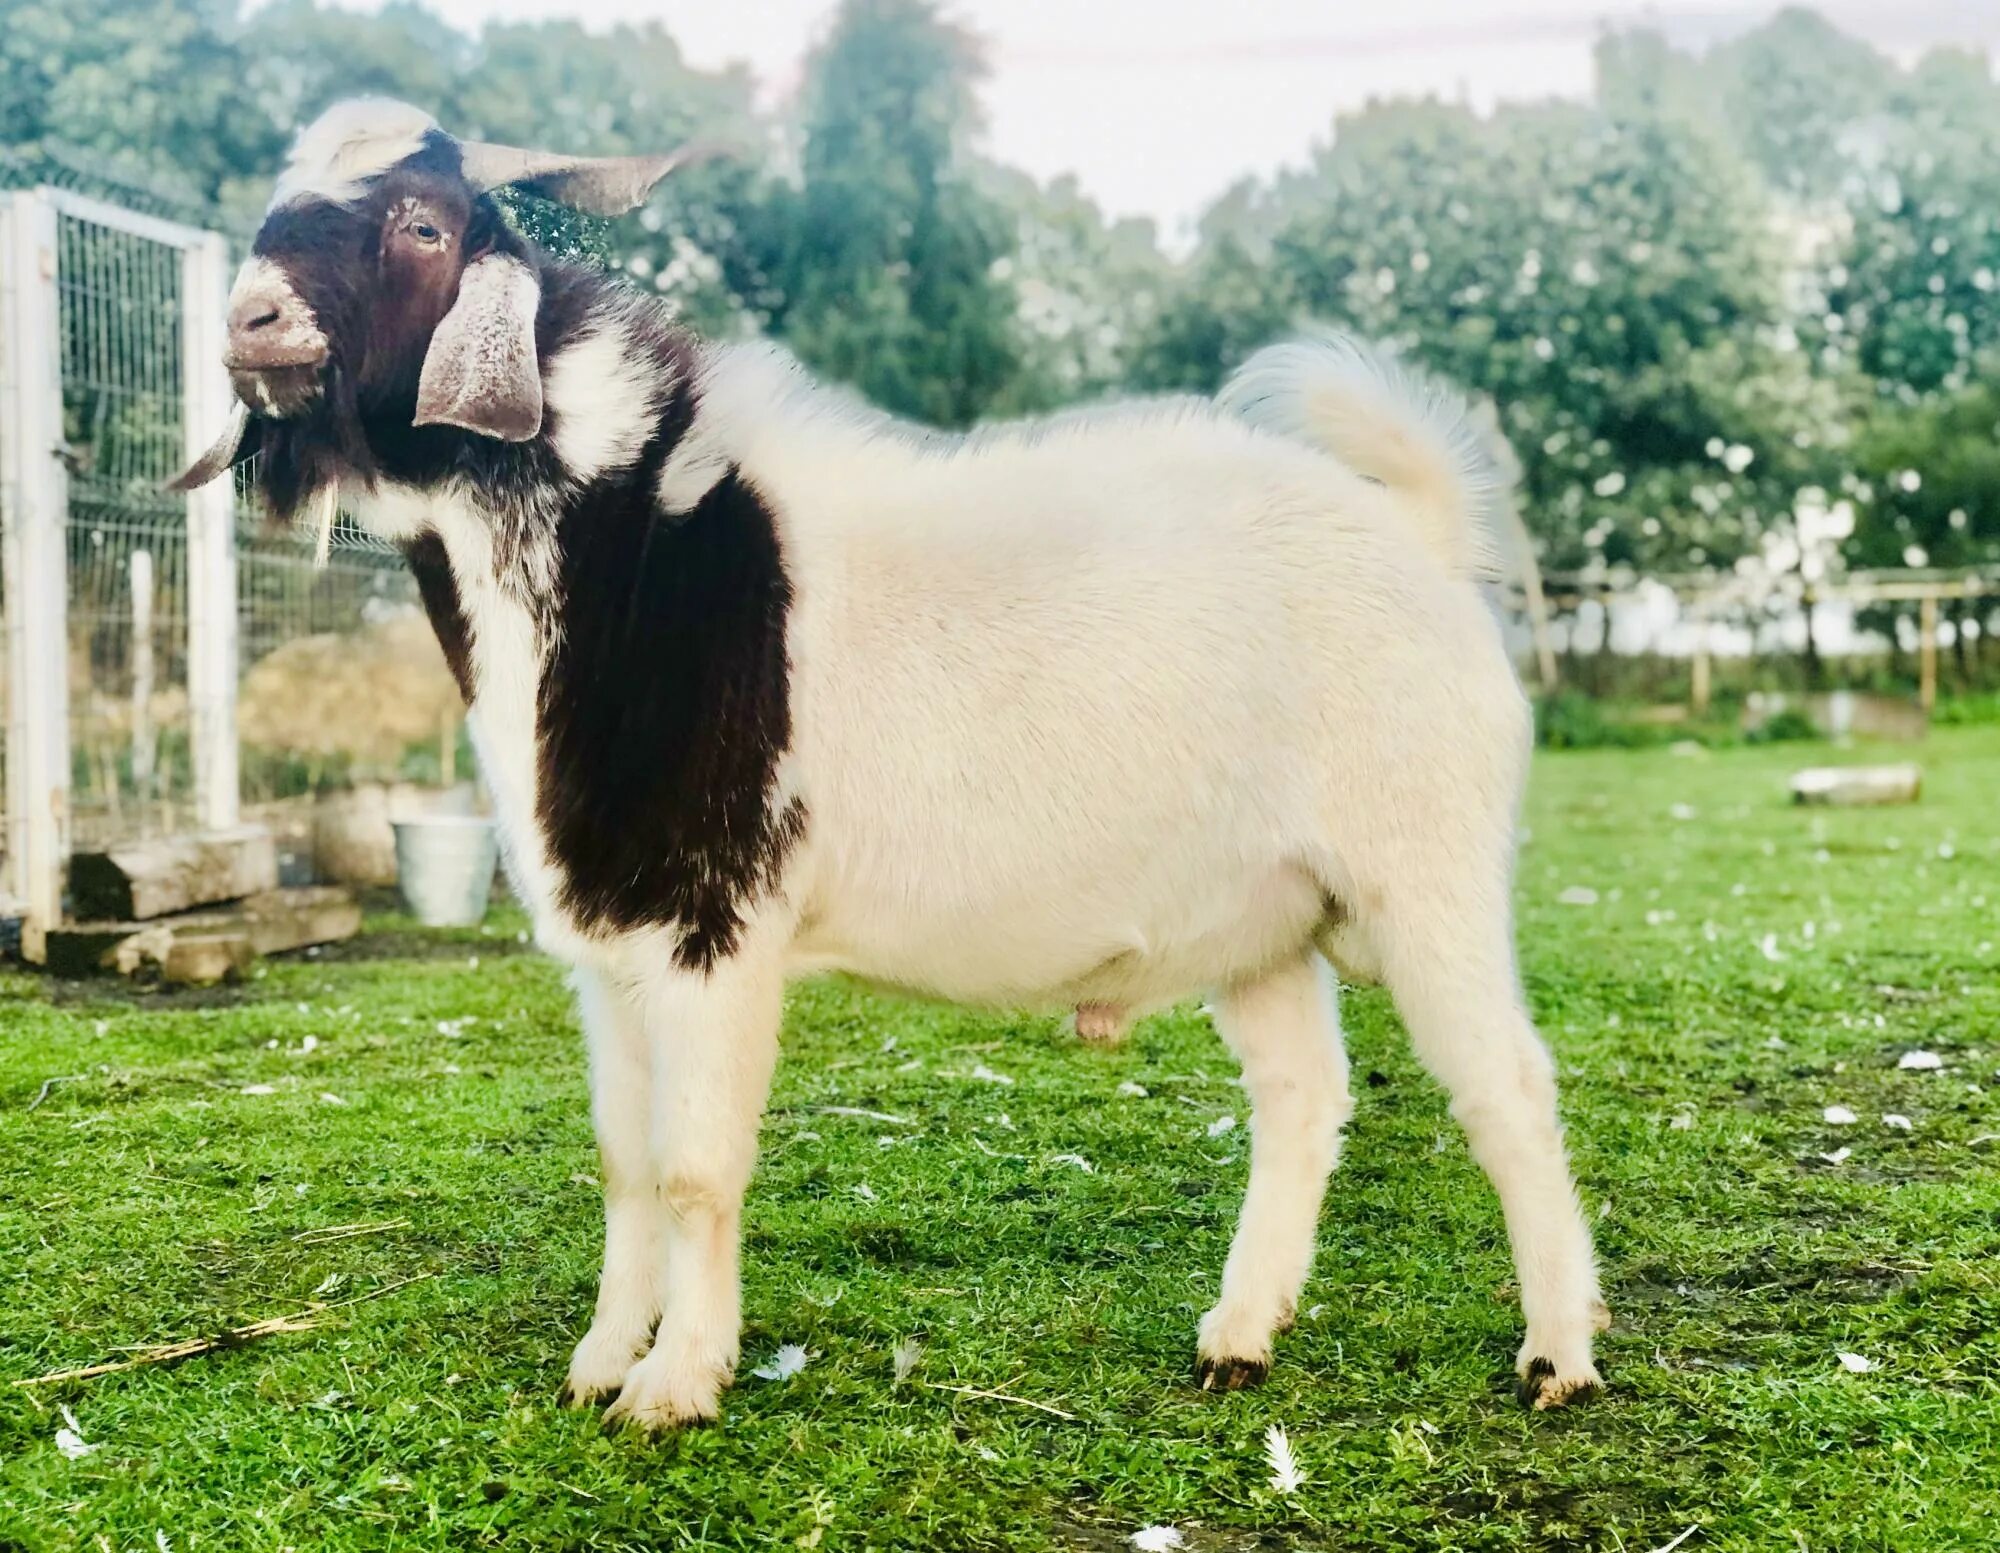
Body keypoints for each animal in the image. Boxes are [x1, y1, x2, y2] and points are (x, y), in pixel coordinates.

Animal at [176, 97, 1608, 1432]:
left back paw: (1556, 1355)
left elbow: (695, 1166)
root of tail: (1422, 540)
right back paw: (1239, 1335)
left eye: (422, 224)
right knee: (1301, 1097)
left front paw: (676, 1381)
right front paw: (599, 1360)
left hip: (1422, 866)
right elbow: (626, 1160)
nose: (251, 322)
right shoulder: (610, 943)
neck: (626, 557)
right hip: (1257, 915)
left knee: (1506, 1087)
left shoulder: (715, 924)